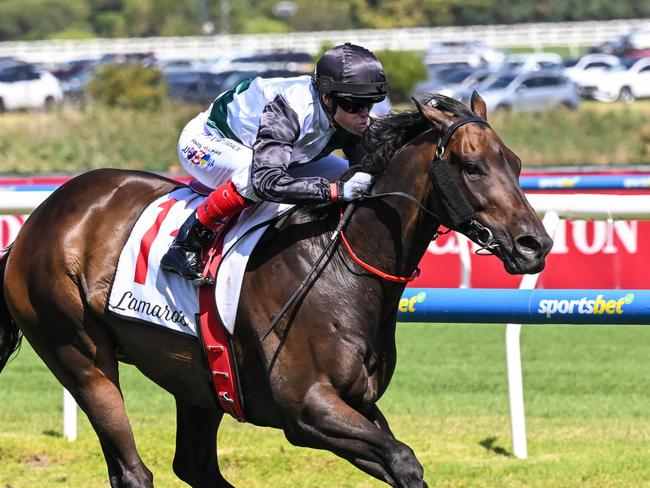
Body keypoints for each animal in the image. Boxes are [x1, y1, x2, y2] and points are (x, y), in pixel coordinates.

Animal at [0, 92, 548, 488]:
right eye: (472, 166)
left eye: (518, 164)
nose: (535, 244)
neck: (343, 264)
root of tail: (37, 221)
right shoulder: (306, 411)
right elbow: (404, 459)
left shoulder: (358, 404)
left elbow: (399, 461)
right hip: (80, 355)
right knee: (133, 470)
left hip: (197, 380)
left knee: (194, 466)